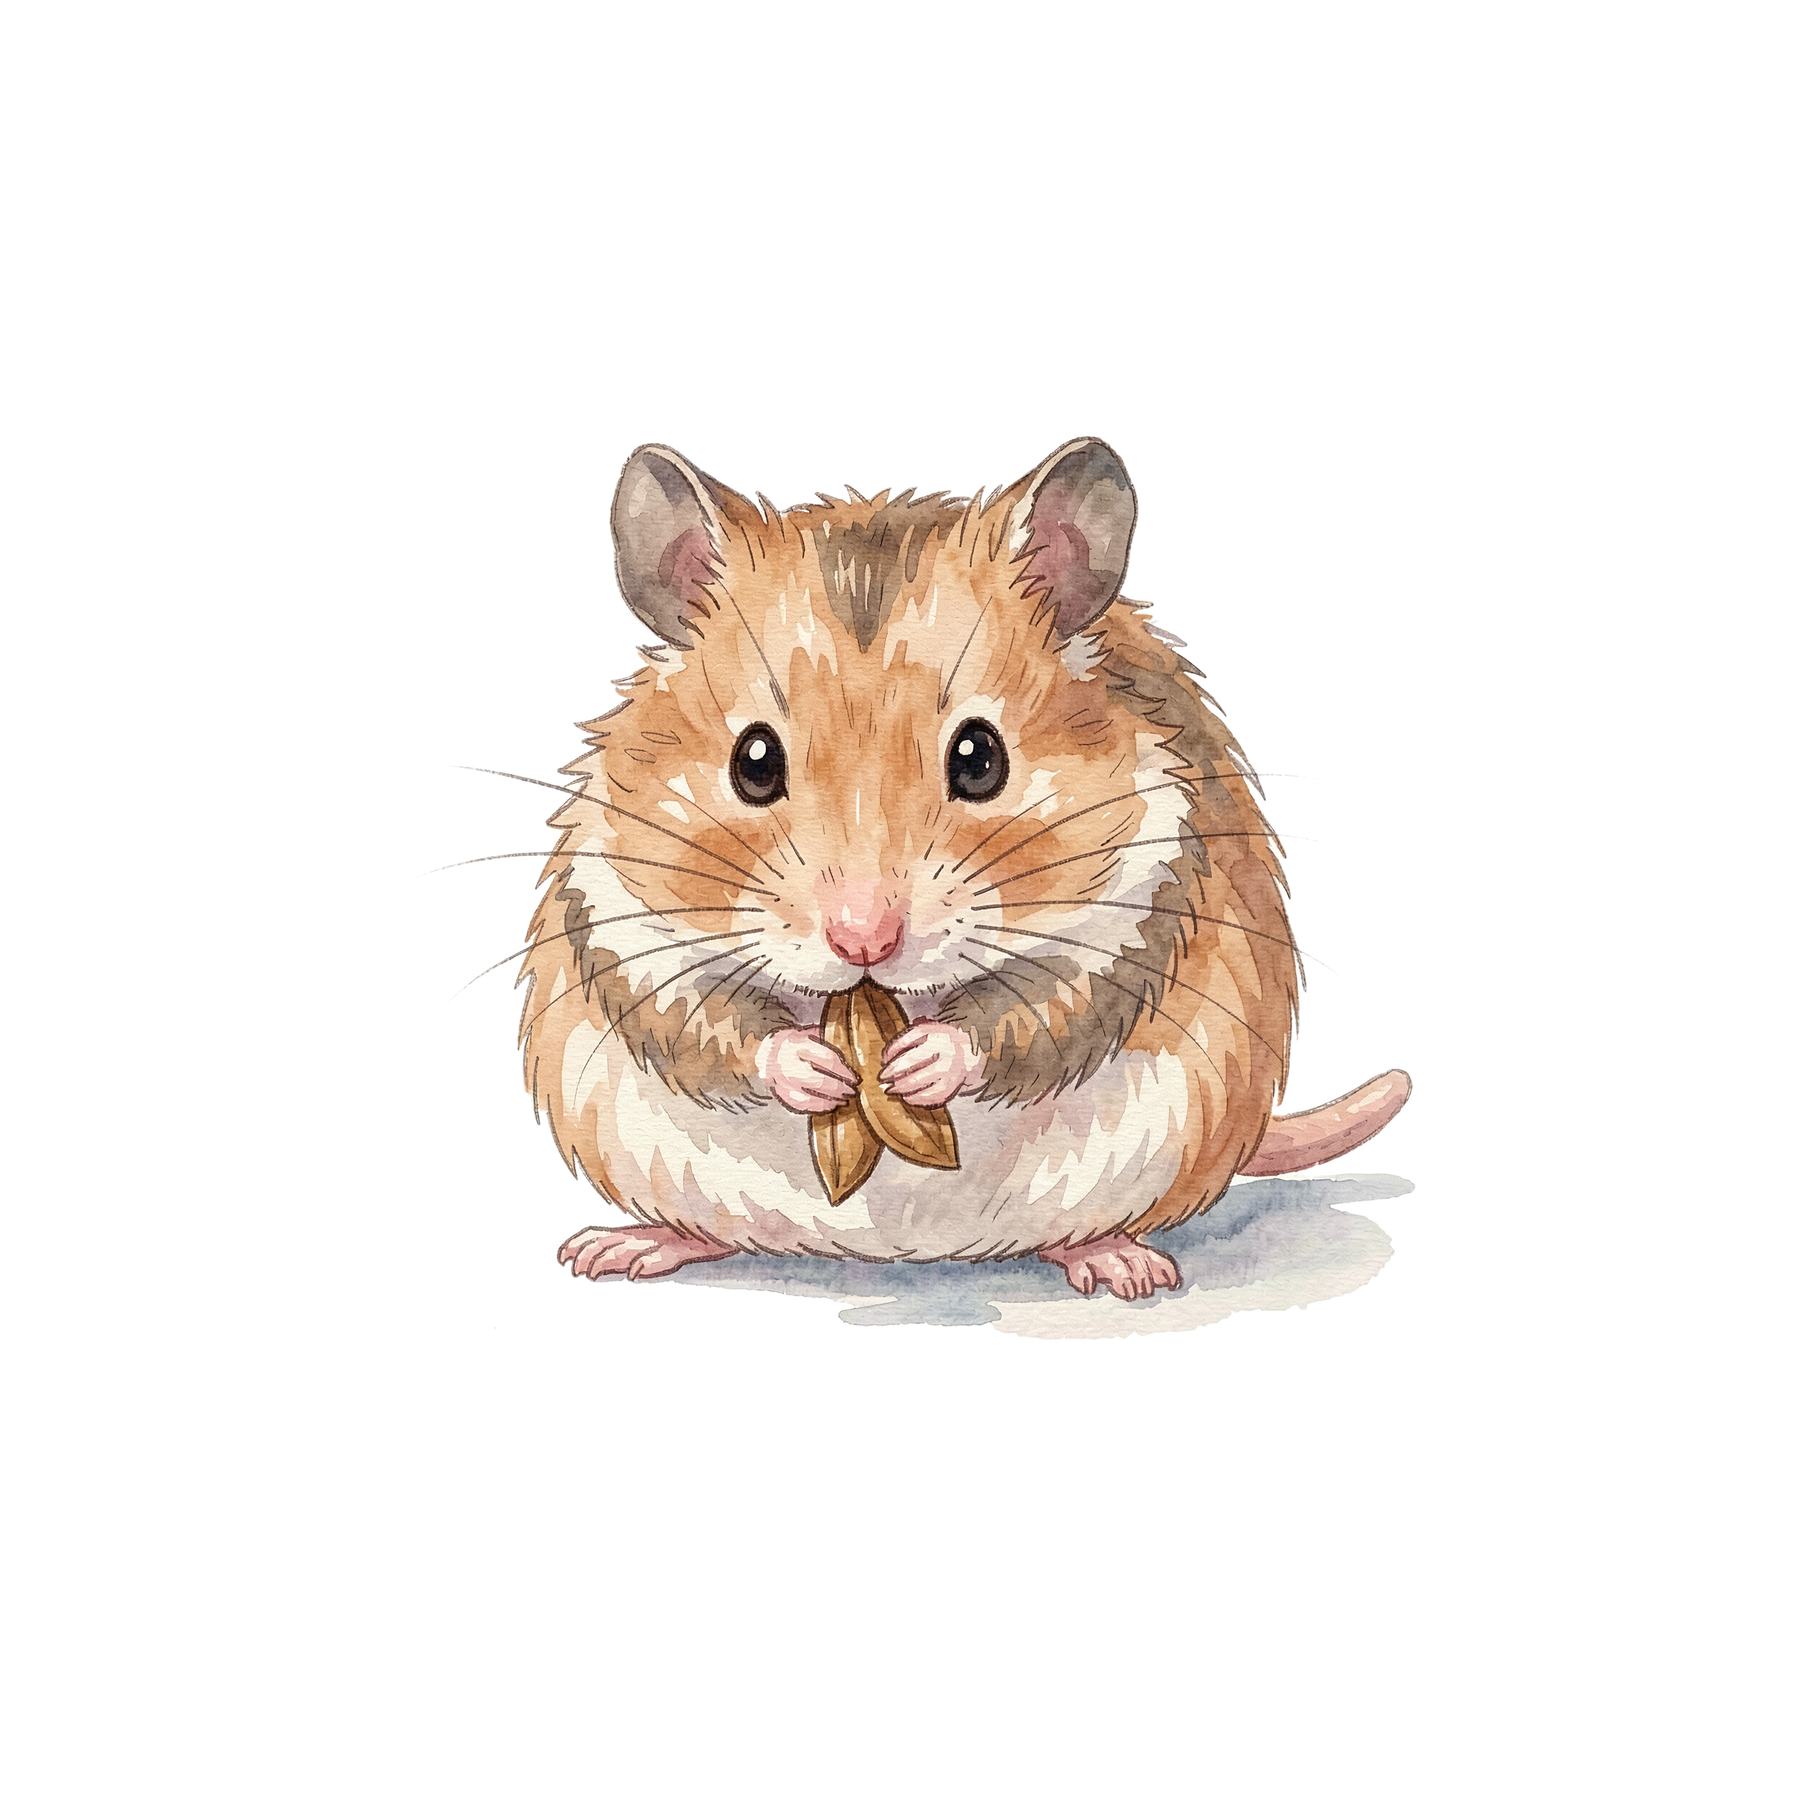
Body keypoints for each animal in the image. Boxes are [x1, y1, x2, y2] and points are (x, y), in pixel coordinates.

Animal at [520, 439, 1410, 1301]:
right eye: (754, 761)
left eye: (980, 758)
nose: (864, 943)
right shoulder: (618, 927)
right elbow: (709, 1020)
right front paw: (816, 1066)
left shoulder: (1144, 911)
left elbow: (1034, 1011)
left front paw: (919, 1064)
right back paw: (614, 1249)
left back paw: (1127, 1269)